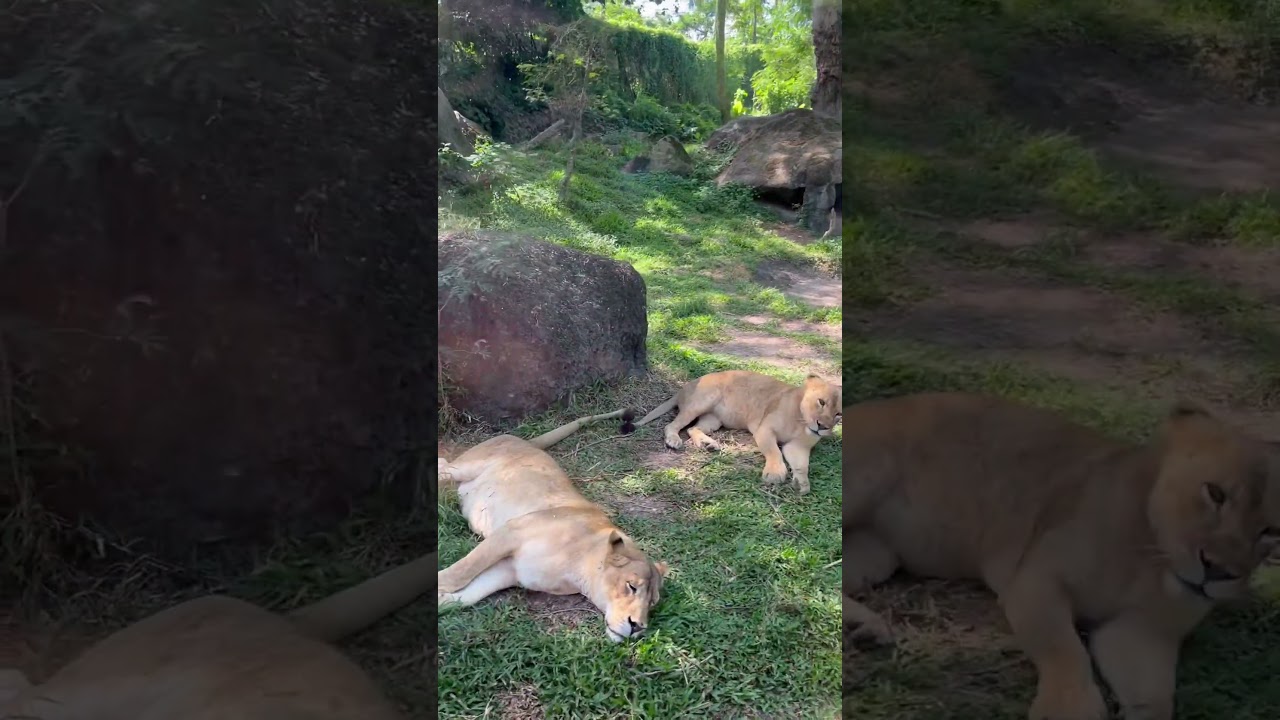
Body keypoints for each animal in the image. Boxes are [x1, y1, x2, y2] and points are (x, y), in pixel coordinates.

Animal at [438, 408, 669, 642]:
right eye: (631, 586)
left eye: (652, 602)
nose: (638, 626)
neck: (578, 572)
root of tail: (527, 442)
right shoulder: (511, 532)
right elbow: (460, 572)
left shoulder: (511, 570)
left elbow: (469, 594)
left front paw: (441, 601)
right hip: (464, 468)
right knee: (443, 464)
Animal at [623, 370, 841, 494]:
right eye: (821, 402)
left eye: (838, 414)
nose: (822, 427)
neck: (800, 422)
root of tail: (684, 387)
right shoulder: (764, 429)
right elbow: (774, 451)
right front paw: (775, 473)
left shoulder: (798, 447)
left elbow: (803, 466)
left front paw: (801, 484)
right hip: (704, 399)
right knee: (672, 425)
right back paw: (674, 440)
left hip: (714, 419)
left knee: (693, 428)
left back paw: (708, 444)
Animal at [843, 392, 1280, 720]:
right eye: (1216, 493)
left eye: (1272, 530)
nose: (1219, 571)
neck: (1151, 563)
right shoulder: (1036, 581)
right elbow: (1064, 649)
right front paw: (1068, 709)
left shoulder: (1142, 632)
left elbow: (1156, 699)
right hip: (868, 474)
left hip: (876, 554)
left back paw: (863, 626)